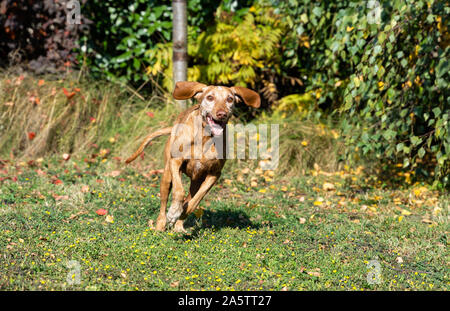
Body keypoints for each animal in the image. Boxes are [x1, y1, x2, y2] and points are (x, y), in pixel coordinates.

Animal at [125, 81, 260, 233]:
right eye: (210, 97)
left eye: (230, 99)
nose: (222, 114)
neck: (204, 137)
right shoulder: (175, 162)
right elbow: (179, 191)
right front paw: (173, 211)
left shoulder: (214, 174)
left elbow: (194, 201)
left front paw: (181, 214)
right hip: (167, 175)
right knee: (164, 204)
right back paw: (160, 225)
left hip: (196, 181)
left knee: (189, 198)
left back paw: (178, 226)